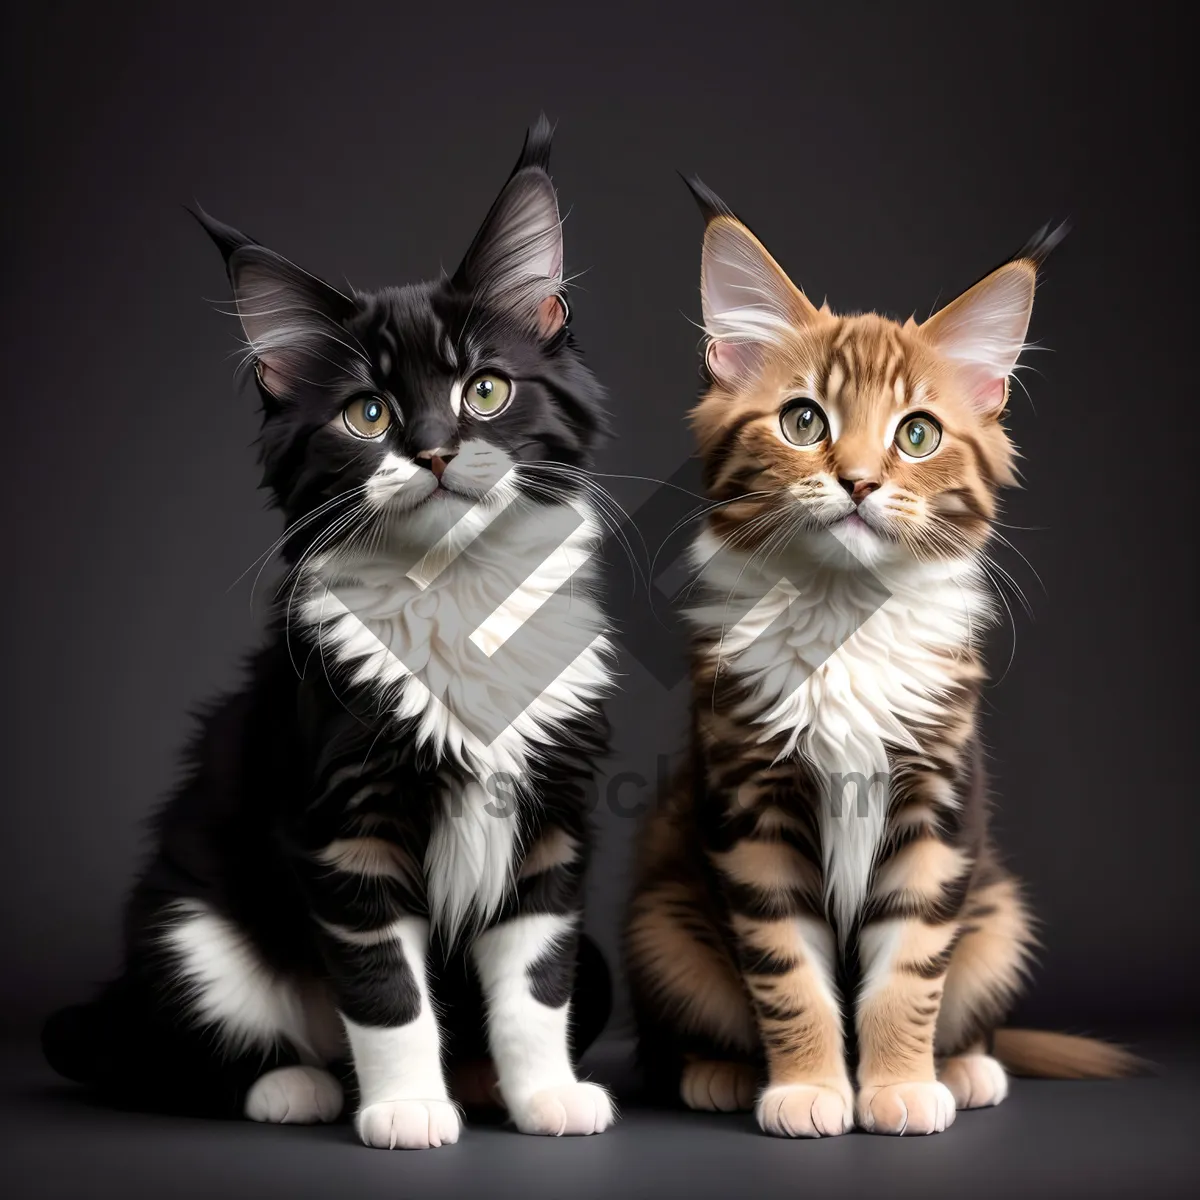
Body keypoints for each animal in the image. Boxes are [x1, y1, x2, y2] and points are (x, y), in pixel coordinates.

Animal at [41, 119, 614, 1142]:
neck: (457, 593)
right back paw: (296, 1087)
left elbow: (537, 984)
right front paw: (409, 1112)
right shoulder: (346, 829)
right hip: (189, 926)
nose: (433, 450)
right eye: (368, 414)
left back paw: (474, 1082)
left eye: (486, 392)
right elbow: (387, 993)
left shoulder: (551, 821)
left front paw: (545, 1095)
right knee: (186, 1052)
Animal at [624, 182, 1137, 1137]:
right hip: (662, 919)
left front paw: (898, 1084)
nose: (859, 481)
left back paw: (964, 1067)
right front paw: (810, 1089)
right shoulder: (753, 810)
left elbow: (910, 971)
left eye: (918, 435)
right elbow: (788, 973)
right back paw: (718, 1072)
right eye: (803, 421)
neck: (844, 616)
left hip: (1001, 915)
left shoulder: (936, 808)